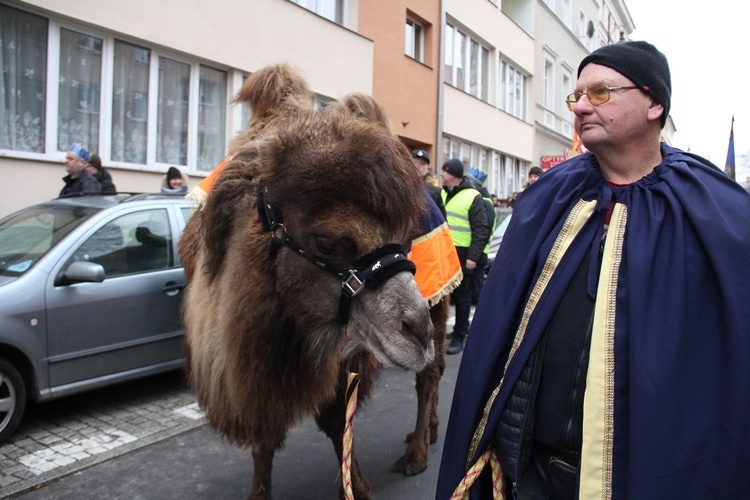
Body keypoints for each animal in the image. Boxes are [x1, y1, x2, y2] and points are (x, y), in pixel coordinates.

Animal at [182, 64, 438, 498]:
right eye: (327, 242)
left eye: (408, 234)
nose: (418, 332)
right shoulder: (259, 362)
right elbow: (264, 436)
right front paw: (259, 493)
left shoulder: (338, 347)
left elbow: (336, 420)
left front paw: (357, 487)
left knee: (428, 378)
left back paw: (417, 453)